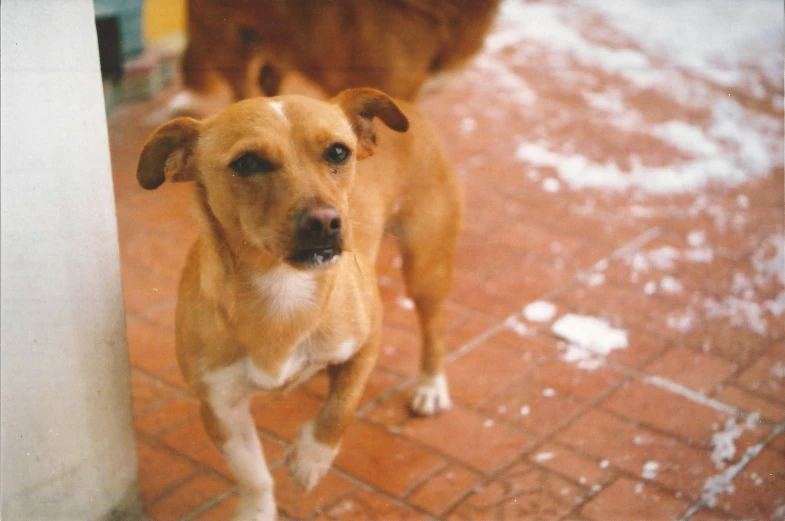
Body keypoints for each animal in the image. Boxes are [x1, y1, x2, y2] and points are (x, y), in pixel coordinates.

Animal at [138, 87, 462, 516]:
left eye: (338, 152)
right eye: (247, 162)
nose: (324, 222)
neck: (282, 288)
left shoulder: (367, 342)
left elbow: (341, 409)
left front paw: (310, 460)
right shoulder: (219, 406)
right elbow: (253, 474)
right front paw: (256, 512)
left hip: (426, 266)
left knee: (435, 327)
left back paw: (430, 386)